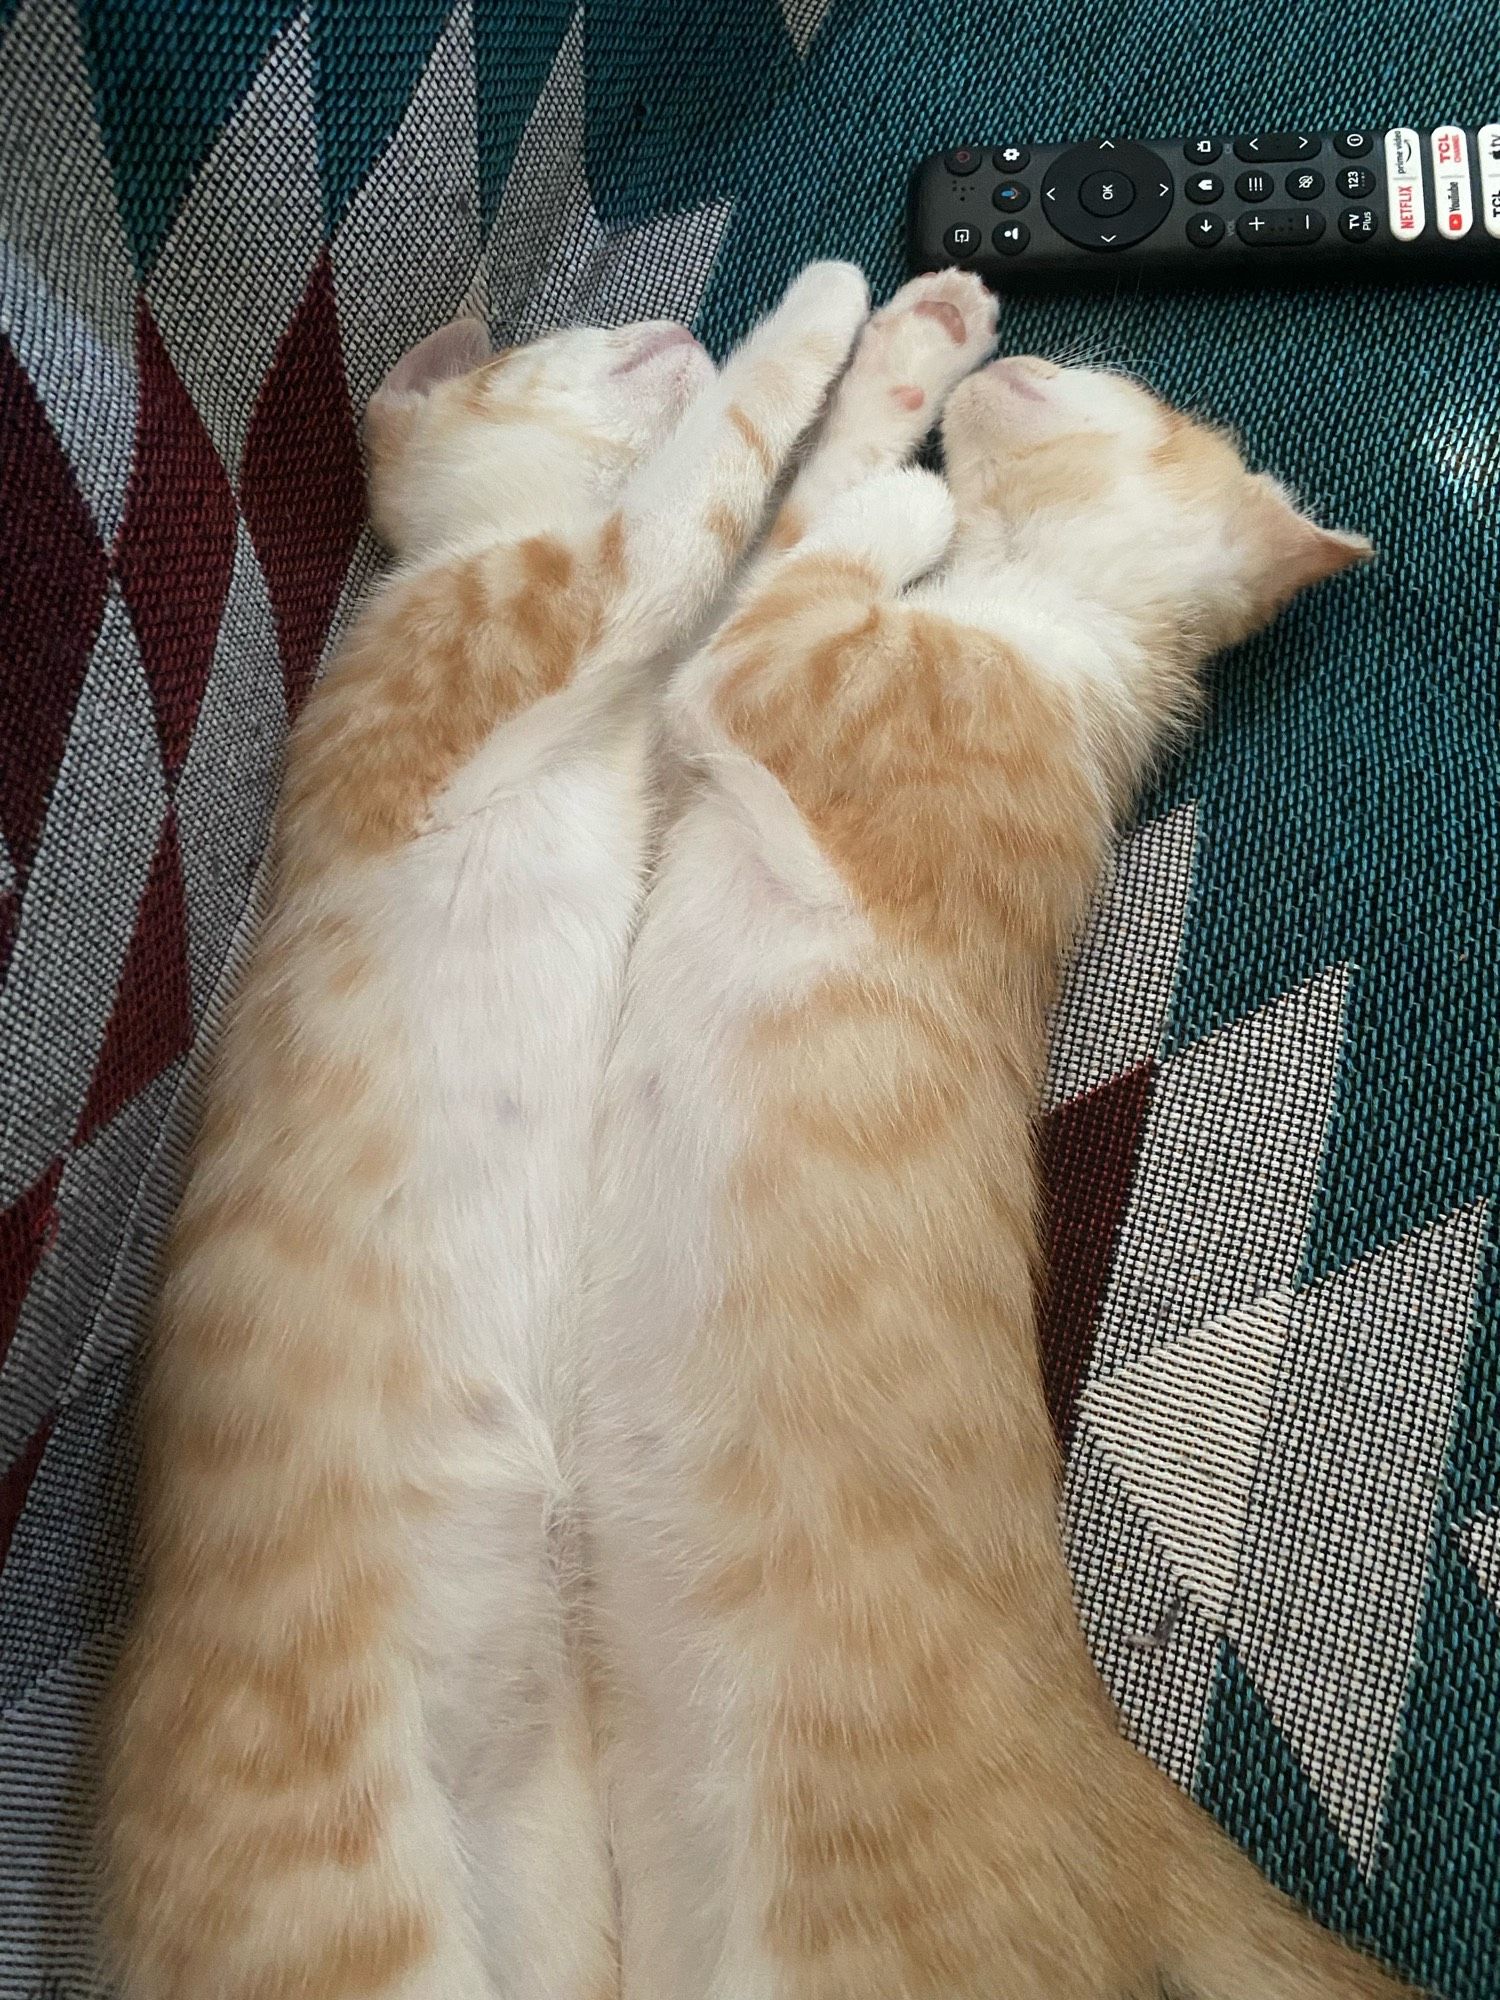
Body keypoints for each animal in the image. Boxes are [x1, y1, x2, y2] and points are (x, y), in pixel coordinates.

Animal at [106, 266, 876, 2000]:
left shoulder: (648, 699)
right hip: (365, 1915)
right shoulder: (578, 599)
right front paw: (821, 311)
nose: (674, 311)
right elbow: (711, 470)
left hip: (539, 1879)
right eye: (556, 341)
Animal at [580, 286, 1416, 2000]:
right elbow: (803, 507)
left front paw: (911, 475)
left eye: (1153, 397)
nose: (1034, 333)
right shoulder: (725, 731)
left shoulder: (779, 686)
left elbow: (812, 548)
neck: (1034, 627)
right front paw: (915, 337)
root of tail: (1126, 1795)